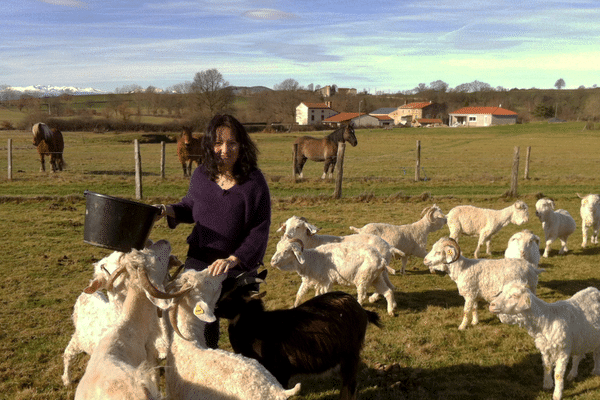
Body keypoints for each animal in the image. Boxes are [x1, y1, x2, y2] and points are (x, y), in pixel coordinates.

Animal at [214, 272, 380, 400]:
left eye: (231, 296)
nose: (213, 309)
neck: (257, 327)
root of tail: (361, 309)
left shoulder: (281, 372)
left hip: (351, 354)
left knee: (349, 386)